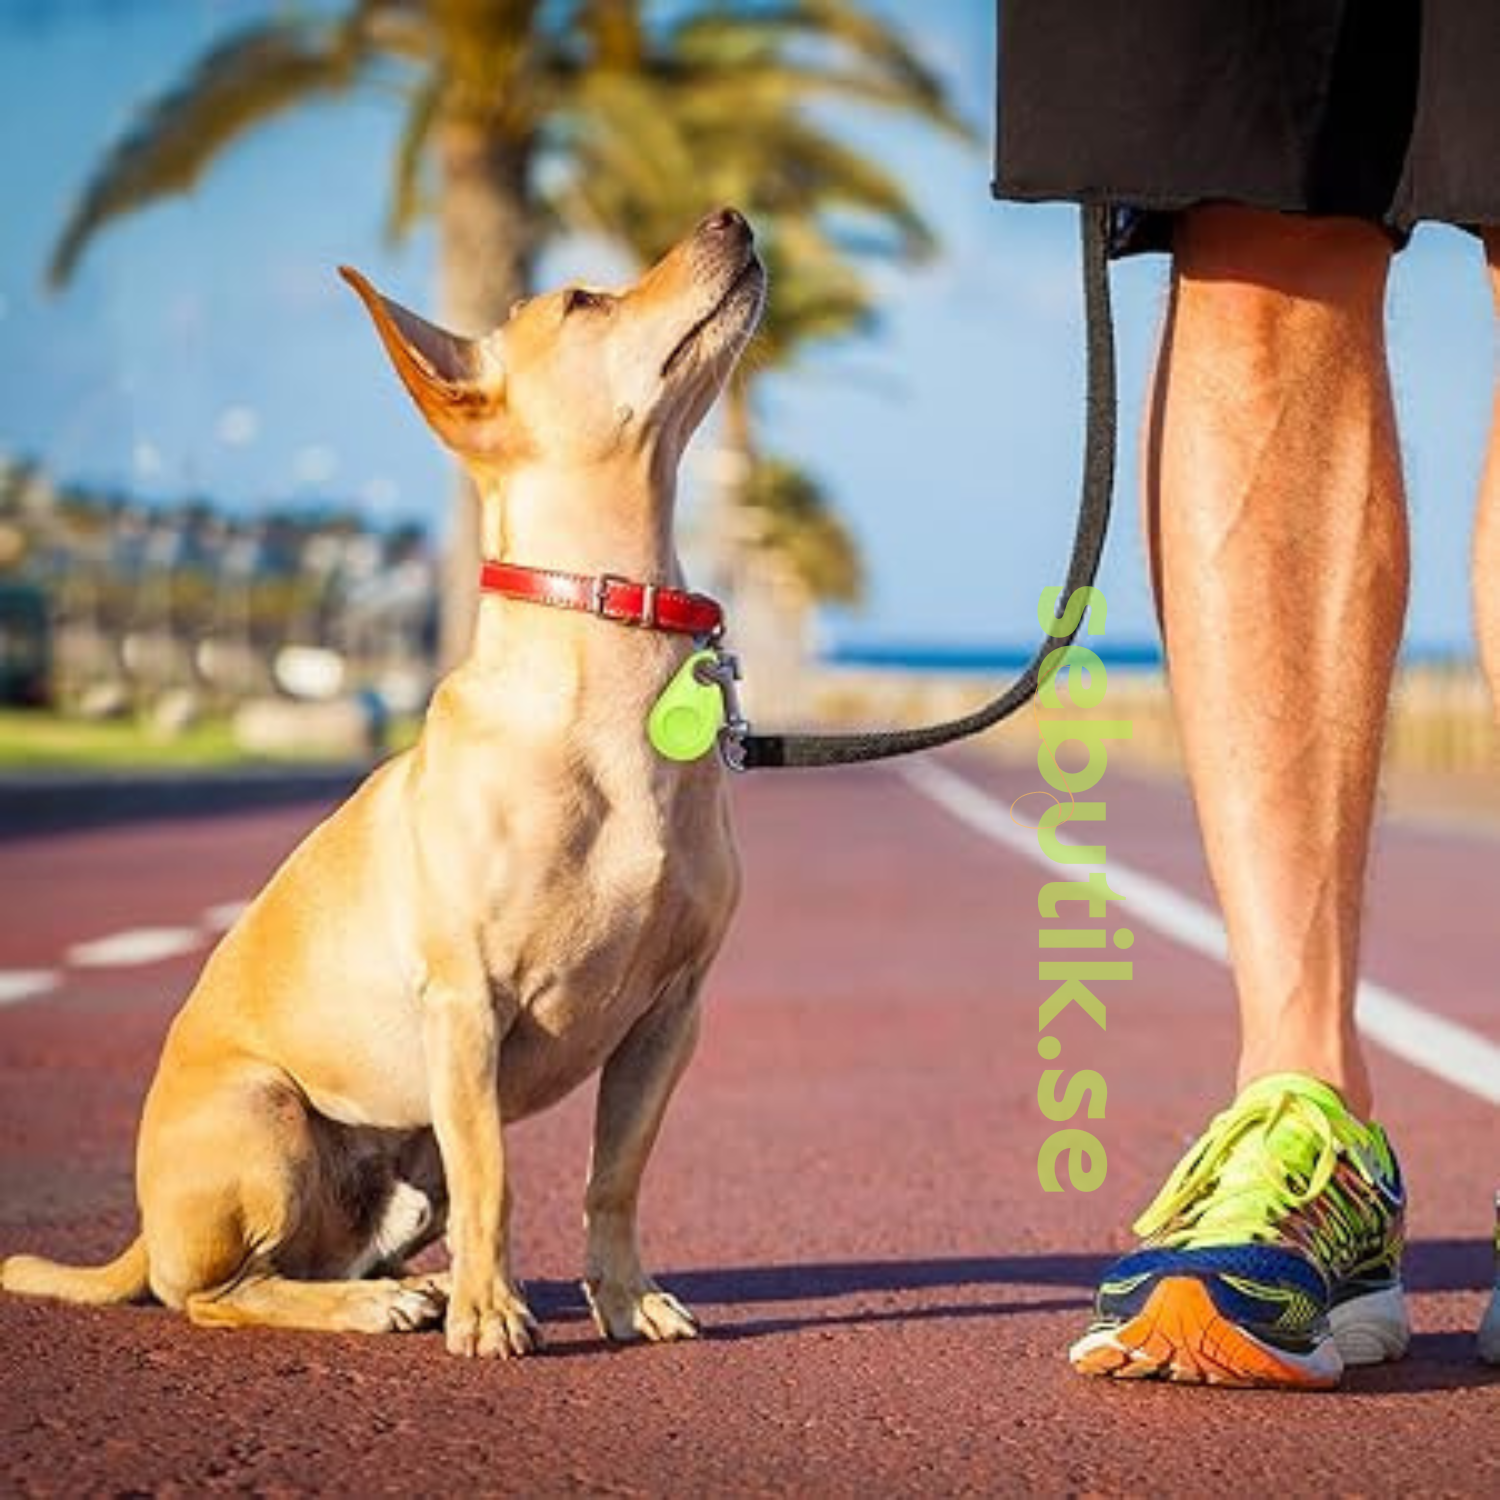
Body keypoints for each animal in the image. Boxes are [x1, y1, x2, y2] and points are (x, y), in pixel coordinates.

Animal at [0, 205, 768, 1356]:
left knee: (326, 1254)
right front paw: (493, 1316)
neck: (611, 660)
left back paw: (418, 1285)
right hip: (269, 1119)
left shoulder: (669, 1016)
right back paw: (388, 1302)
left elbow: (614, 1177)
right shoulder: (468, 1006)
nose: (731, 215)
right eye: (583, 300)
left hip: (406, 1169)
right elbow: (498, 1178)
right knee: (224, 1291)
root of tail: (144, 1231)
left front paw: (625, 1298)